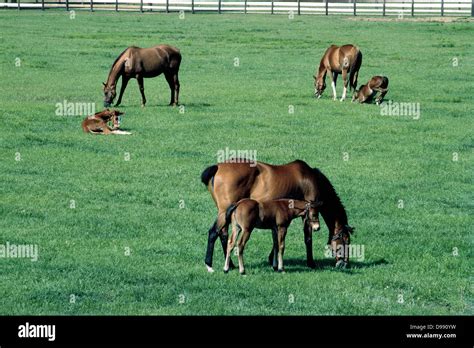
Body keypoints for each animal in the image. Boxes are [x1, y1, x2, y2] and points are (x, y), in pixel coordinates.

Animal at [201, 160, 356, 272]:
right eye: (345, 241)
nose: (344, 264)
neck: (311, 179)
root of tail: (217, 167)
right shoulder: (306, 215)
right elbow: (307, 238)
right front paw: (311, 263)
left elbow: (276, 240)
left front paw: (273, 261)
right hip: (224, 211)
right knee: (214, 232)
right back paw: (210, 264)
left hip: (226, 213)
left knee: (224, 234)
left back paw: (230, 265)